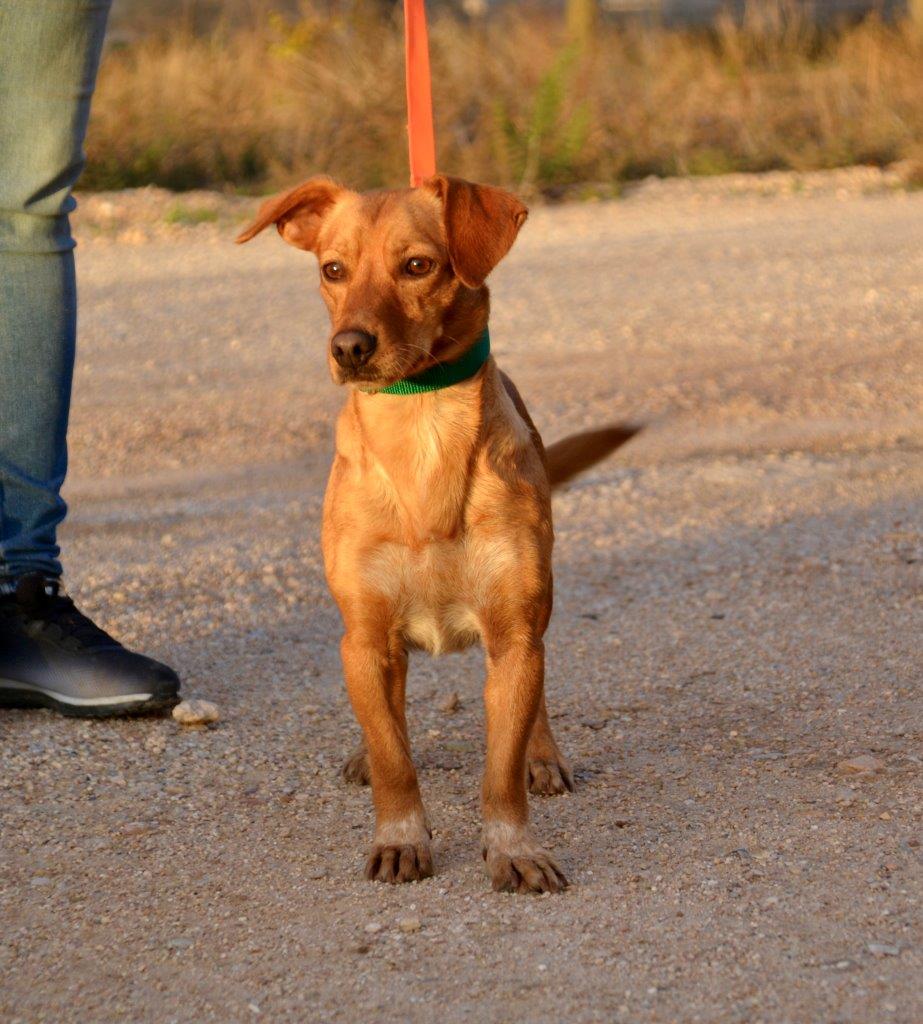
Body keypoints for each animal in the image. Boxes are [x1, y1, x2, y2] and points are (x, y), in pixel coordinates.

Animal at [239, 174, 635, 888]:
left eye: (418, 266)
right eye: (332, 270)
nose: (348, 347)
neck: (422, 432)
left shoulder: (513, 635)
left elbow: (499, 771)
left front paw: (515, 848)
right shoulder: (366, 638)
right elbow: (395, 759)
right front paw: (400, 835)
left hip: (539, 611)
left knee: (534, 699)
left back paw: (543, 754)